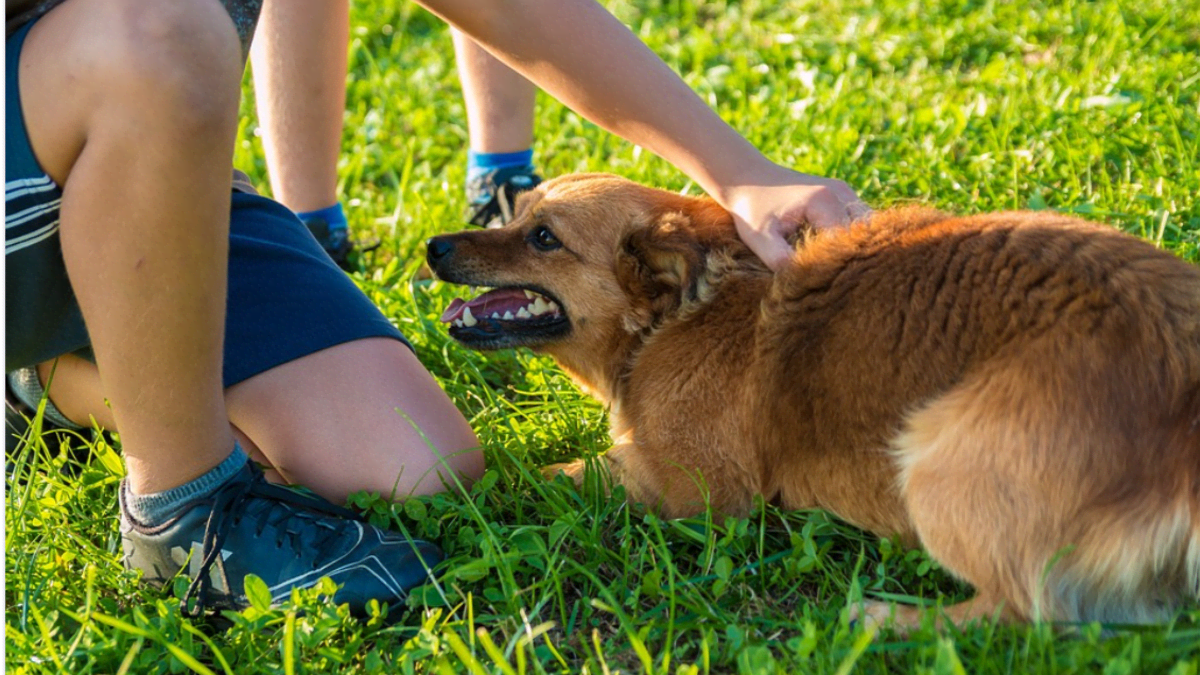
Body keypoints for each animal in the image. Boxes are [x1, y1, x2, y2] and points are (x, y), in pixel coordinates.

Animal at [424, 171, 1200, 624]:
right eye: (514, 213)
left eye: (543, 237)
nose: (432, 247)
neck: (682, 311)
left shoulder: (691, 489)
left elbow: (551, 472)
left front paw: (484, 483)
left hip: (935, 456)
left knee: (1024, 613)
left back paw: (888, 622)